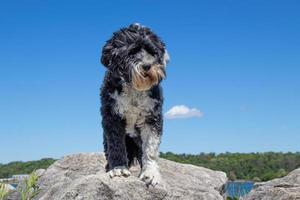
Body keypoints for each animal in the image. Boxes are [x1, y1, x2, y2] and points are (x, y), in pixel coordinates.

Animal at [100, 23, 169, 186]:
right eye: (132, 52)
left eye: (152, 52)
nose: (148, 65)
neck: (134, 88)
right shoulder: (112, 117)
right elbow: (116, 145)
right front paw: (118, 169)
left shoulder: (152, 117)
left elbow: (150, 149)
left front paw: (151, 173)